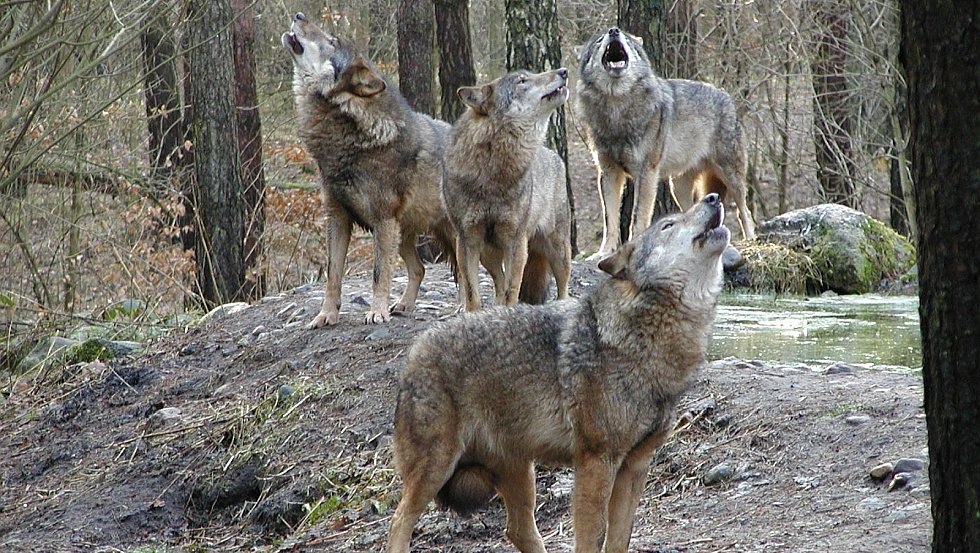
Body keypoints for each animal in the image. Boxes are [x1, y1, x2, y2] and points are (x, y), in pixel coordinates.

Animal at [280, 12, 456, 326]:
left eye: (332, 41)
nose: (299, 15)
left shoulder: (383, 220)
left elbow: (378, 274)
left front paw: (377, 312)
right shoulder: (338, 218)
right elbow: (332, 274)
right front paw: (326, 315)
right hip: (403, 235)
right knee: (420, 269)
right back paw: (404, 305)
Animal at [386, 192, 732, 548]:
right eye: (668, 225)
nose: (714, 197)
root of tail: (415, 350)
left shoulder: (635, 467)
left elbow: (618, 541)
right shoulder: (595, 461)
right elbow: (591, 539)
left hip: (520, 472)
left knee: (518, 530)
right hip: (437, 466)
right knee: (399, 522)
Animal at [440, 68, 572, 310]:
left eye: (529, 75)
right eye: (522, 80)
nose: (564, 71)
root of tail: (554, 154)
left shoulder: (516, 241)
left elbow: (513, 289)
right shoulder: (467, 240)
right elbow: (472, 292)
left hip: (557, 249)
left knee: (563, 284)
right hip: (488, 253)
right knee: (498, 280)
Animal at [576, 25, 756, 258]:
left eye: (626, 38)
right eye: (599, 41)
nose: (614, 30)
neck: (617, 106)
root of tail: (727, 97)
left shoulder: (646, 173)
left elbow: (637, 217)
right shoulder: (608, 173)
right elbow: (610, 220)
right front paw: (604, 253)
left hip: (731, 176)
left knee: (745, 211)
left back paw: (751, 239)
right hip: (677, 187)